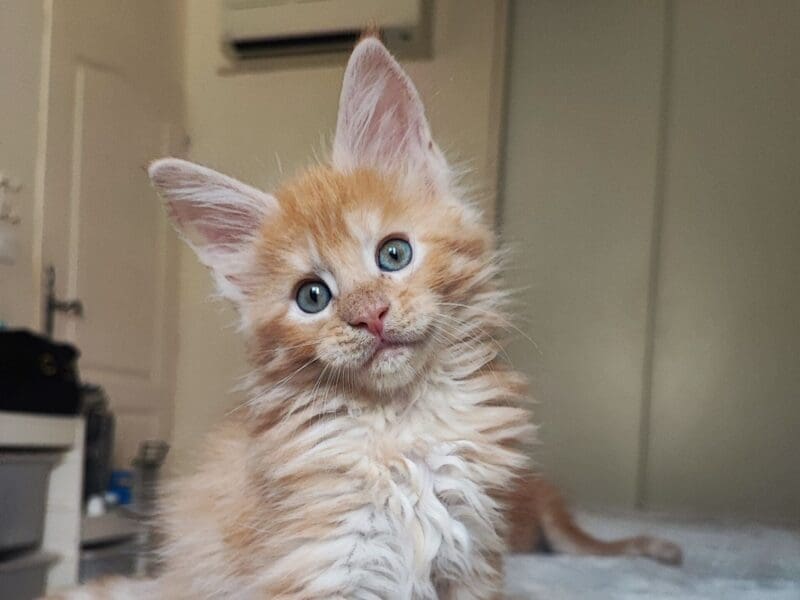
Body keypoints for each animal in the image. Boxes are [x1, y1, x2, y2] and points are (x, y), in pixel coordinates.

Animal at [50, 37, 536, 600]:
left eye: (394, 254)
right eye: (312, 297)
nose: (370, 316)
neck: (398, 427)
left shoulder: (472, 557)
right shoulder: (322, 564)